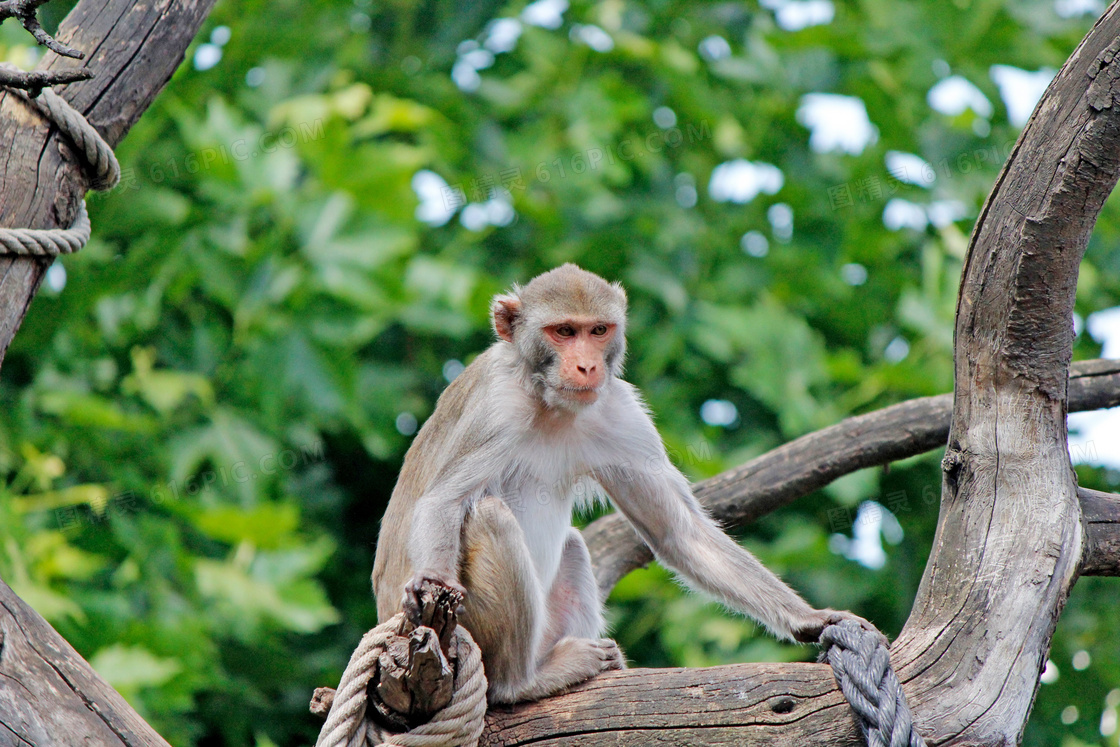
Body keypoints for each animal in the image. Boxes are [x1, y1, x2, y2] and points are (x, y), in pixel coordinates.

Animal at [371, 264, 878, 707]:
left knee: (572, 545)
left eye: (597, 331)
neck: (545, 400)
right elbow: (444, 500)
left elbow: (676, 530)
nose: (586, 367)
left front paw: (809, 619)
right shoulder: (496, 407)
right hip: (469, 630)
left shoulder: (618, 411)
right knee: (490, 516)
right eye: (563, 331)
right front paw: (430, 580)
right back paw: (522, 682)